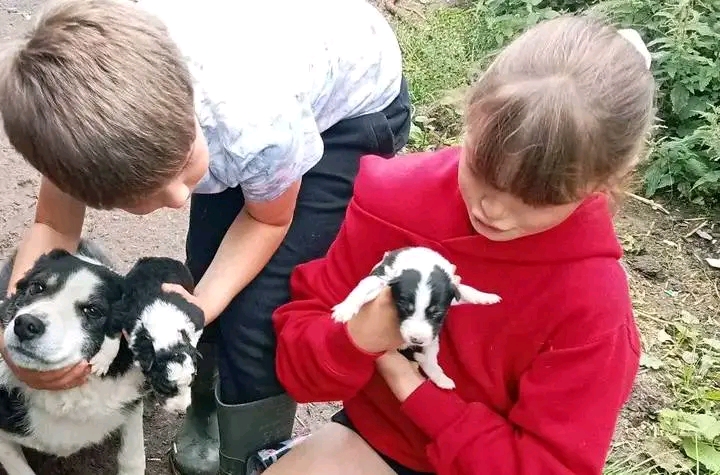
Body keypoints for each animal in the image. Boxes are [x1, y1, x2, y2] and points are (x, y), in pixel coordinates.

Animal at [332, 247, 500, 388]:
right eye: (404, 308)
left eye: (437, 313)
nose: (416, 340)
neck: (422, 262)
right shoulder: (381, 277)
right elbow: (362, 288)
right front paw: (345, 308)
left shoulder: (450, 293)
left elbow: (464, 289)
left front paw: (486, 297)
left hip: (433, 339)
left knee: (430, 360)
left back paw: (441, 378)